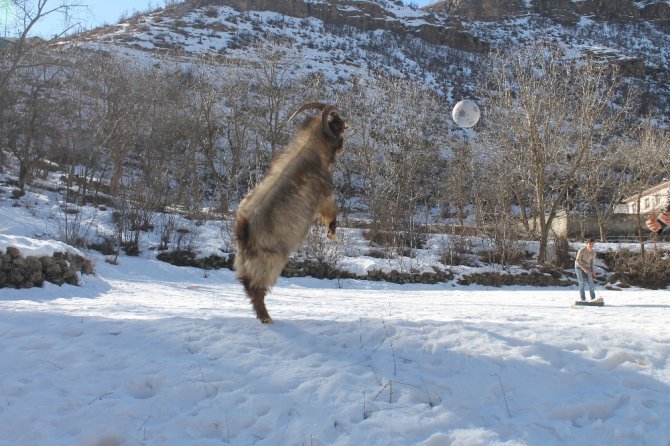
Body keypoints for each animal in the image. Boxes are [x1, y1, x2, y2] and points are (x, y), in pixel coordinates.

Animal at [235, 102, 350, 322]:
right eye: (338, 123)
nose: (348, 126)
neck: (310, 146)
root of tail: (244, 229)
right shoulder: (324, 196)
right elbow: (331, 211)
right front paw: (331, 231)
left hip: (245, 261)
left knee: (246, 283)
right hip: (271, 261)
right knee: (256, 287)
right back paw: (266, 317)